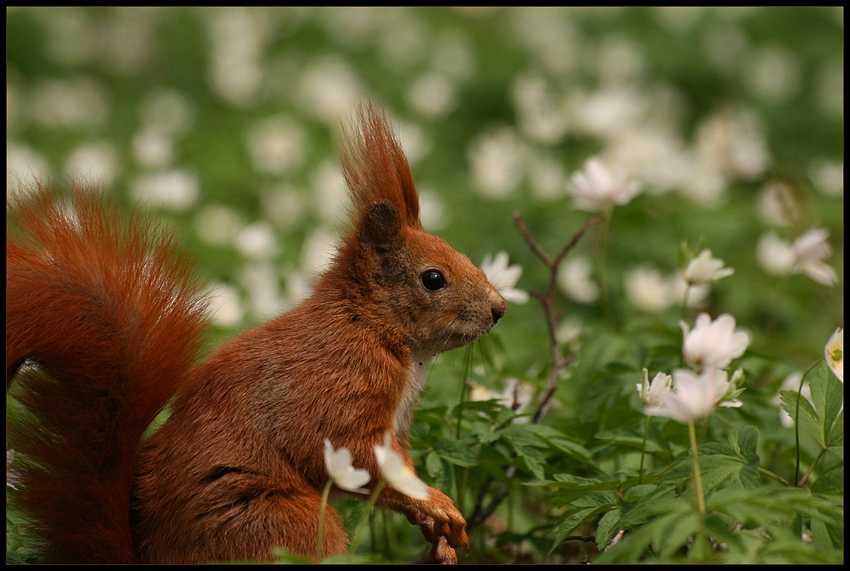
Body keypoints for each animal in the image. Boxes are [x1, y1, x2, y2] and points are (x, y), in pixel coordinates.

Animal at [6, 105, 504, 564]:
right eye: (434, 278)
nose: (499, 309)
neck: (372, 327)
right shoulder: (337, 386)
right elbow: (348, 452)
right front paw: (439, 507)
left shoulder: (393, 429)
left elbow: (398, 466)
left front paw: (438, 532)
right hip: (284, 522)